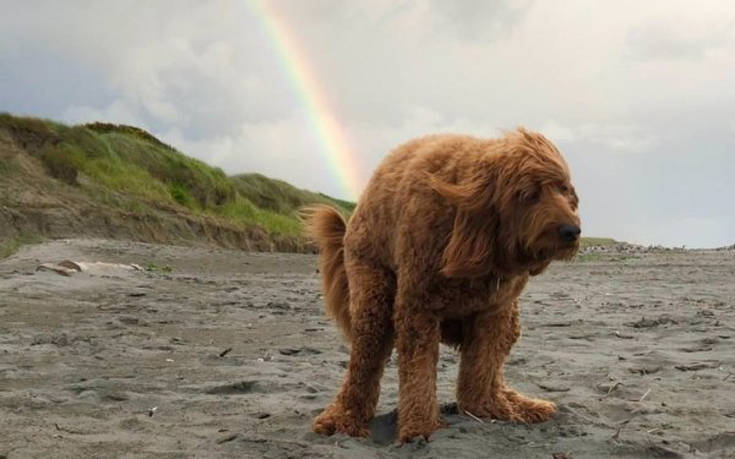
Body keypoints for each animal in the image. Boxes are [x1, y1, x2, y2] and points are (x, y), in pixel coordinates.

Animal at [304, 127, 580, 444]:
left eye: (563, 189)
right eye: (528, 194)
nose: (572, 231)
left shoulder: (494, 310)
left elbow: (482, 367)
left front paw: (484, 408)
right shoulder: (418, 306)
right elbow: (418, 371)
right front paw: (419, 428)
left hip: (509, 318)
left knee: (493, 367)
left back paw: (510, 404)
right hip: (372, 288)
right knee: (365, 358)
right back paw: (344, 419)